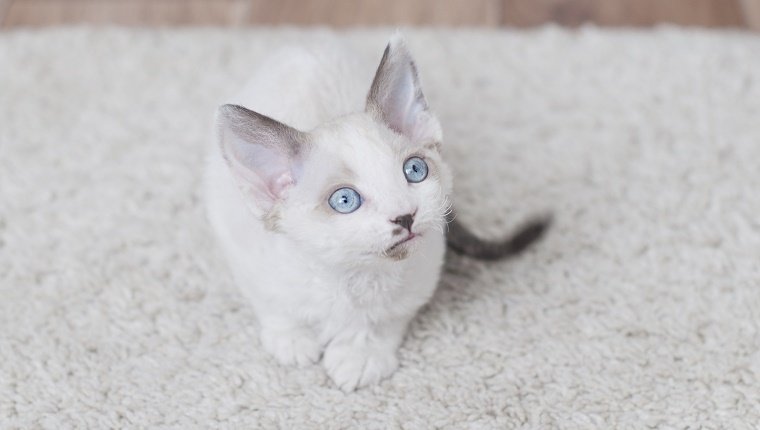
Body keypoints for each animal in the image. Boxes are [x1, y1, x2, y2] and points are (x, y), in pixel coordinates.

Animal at [202, 34, 548, 390]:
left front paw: (361, 354)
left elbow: (383, 319)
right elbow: (274, 305)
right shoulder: (244, 252)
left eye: (415, 170)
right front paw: (292, 339)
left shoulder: (422, 272)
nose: (405, 215)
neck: (354, 275)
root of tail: (306, 44)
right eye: (344, 200)